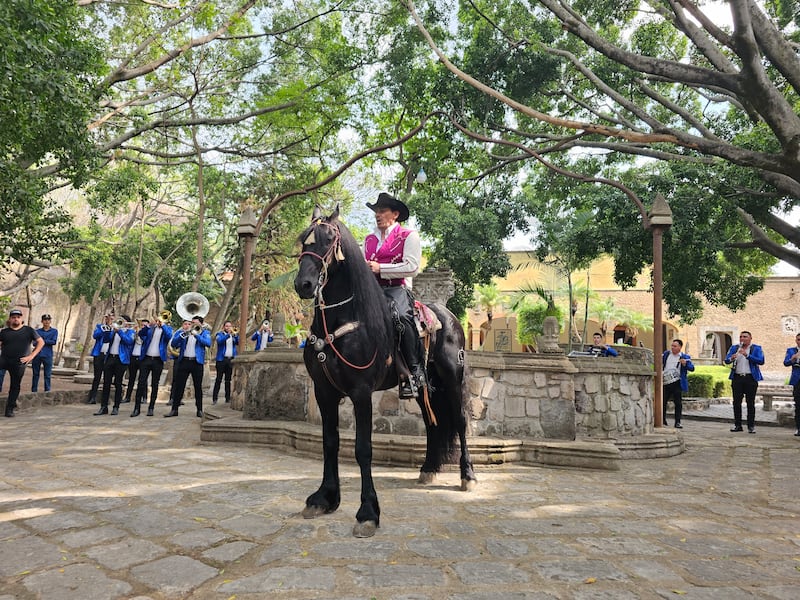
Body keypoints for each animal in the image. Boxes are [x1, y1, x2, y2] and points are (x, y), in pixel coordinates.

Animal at [296, 205, 478, 536]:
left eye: (329, 239)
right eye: (304, 240)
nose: (303, 284)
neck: (345, 320)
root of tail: (448, 316)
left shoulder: (361, 392)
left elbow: (363, 449)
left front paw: (368, 512)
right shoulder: (324, 391)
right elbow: (330, 443)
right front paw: (324, 498)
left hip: (452, 379)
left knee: (459, 422)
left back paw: (467, 475)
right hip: (423, 386)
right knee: (433, 424)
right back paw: (428, 469)